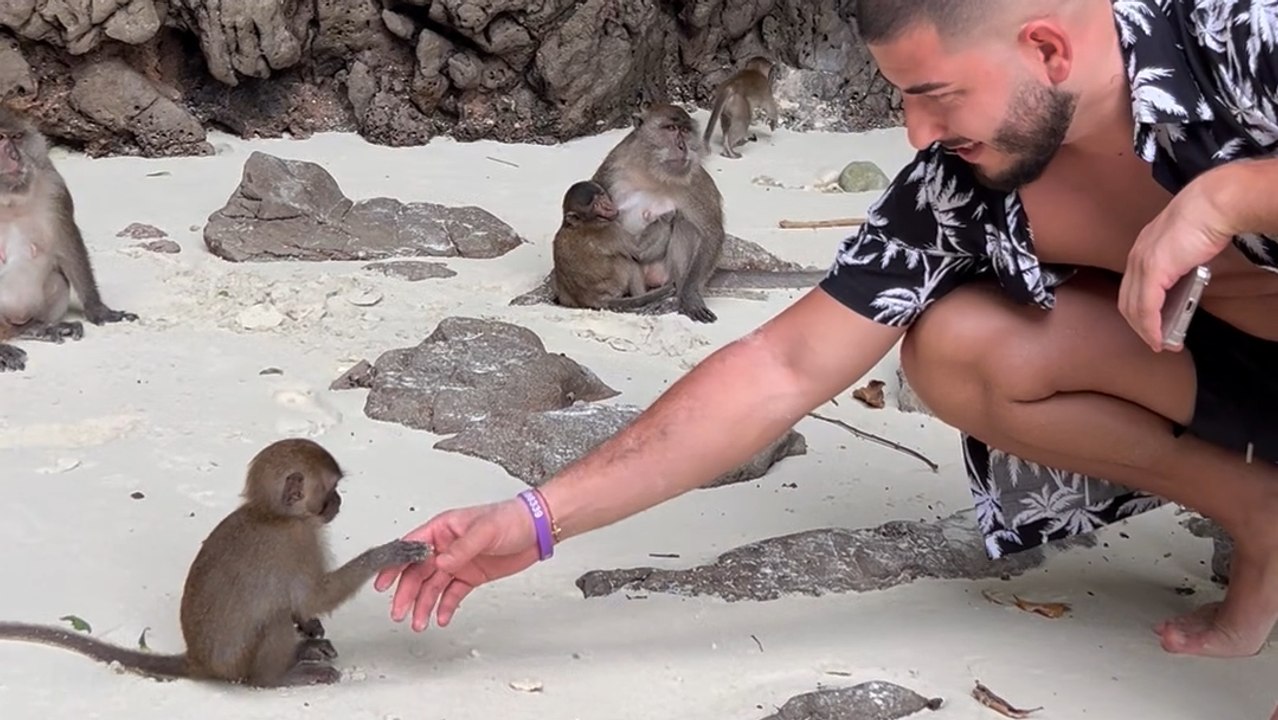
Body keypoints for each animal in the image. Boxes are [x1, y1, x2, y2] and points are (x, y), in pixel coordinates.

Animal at [0, 104, 137, 372]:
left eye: (17, 137)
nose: (13, 155)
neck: (6, 199)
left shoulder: (53, 186)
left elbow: (69, 245)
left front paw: (99, 310)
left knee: (57, 279)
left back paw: (35, 327)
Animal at [0, 438, 432, 688]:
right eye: (332, 490)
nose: (339, 502)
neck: (274, 515)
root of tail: (199, 661)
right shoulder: (294, 542)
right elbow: (312, 596)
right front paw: (386, 554)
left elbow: (304, 604)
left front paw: (309, 627)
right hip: (238, 667)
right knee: (271, 620)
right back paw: (279, 677)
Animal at [550, 179, 679, 311]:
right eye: (595, 206)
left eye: (602, 195)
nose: (607, 207)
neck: (583, 222)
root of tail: (596, 300)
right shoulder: (611, 230)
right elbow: (640, 252)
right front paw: (668, 215)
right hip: (617, 283)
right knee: (630, 261)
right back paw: (642, 294)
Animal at [592, 103, 726, 323]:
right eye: (671, 128)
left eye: (685, 131)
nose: (683, 147)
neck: (651, 172)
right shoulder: (612, 167)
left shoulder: (695, 180)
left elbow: (711, 232)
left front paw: (690, 297)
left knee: (684, 224)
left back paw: (675, 296)